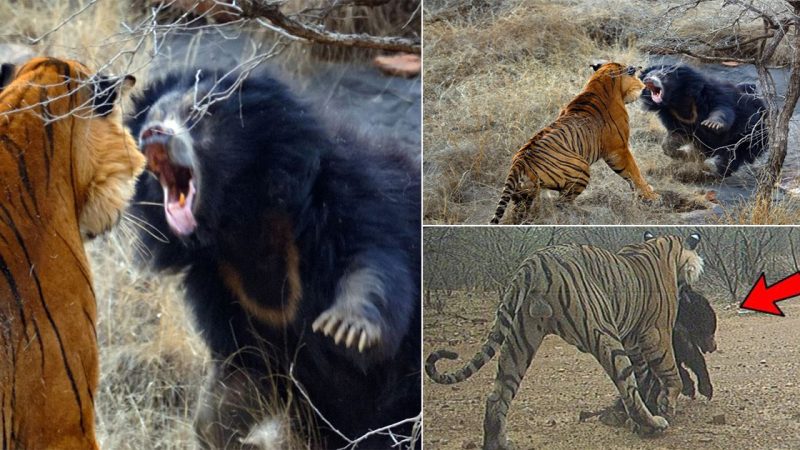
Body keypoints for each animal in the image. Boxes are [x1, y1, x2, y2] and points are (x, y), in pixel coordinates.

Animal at [126, 68, 418, 448]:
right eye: (152, 118)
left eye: (198, 113)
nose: (153, 135)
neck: (242, 219)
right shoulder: (220, 285)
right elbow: (244, 371)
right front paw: (219, 434)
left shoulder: (352, 196)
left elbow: (372, 266)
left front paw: (346, 328)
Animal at [424, 232, 700, 450]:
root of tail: (534, 262)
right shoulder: (657, 333)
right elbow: (669, 372)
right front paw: (665, 406)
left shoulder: (634, 340)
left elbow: (644, 375)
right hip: (602, 330)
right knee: (627, 386)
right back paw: (652, 424)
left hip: (520, 338)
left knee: (497, 396)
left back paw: (497, 443)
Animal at [490, 62, 660, 224]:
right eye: (634, 74)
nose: (643, 84)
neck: (599, 83)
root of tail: (519, 162)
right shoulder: (619, 149)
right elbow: (634, 172)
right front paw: (650, 196)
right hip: (581, 167)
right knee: (562, 203)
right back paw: (587, 212)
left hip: (523, 194)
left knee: (521, 212)